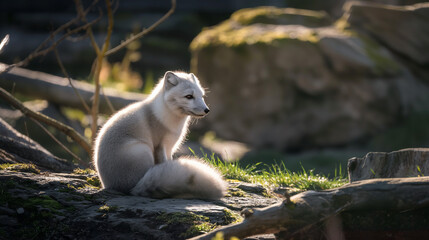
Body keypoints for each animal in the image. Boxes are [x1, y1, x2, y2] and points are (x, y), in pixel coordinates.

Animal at [93, 71, 226, 199]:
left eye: (201, 96)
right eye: (189, 96)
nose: (207, 110)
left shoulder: (169, 148)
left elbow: (169, 163)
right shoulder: (160, 146)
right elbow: (164, 163)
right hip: (142, 149)